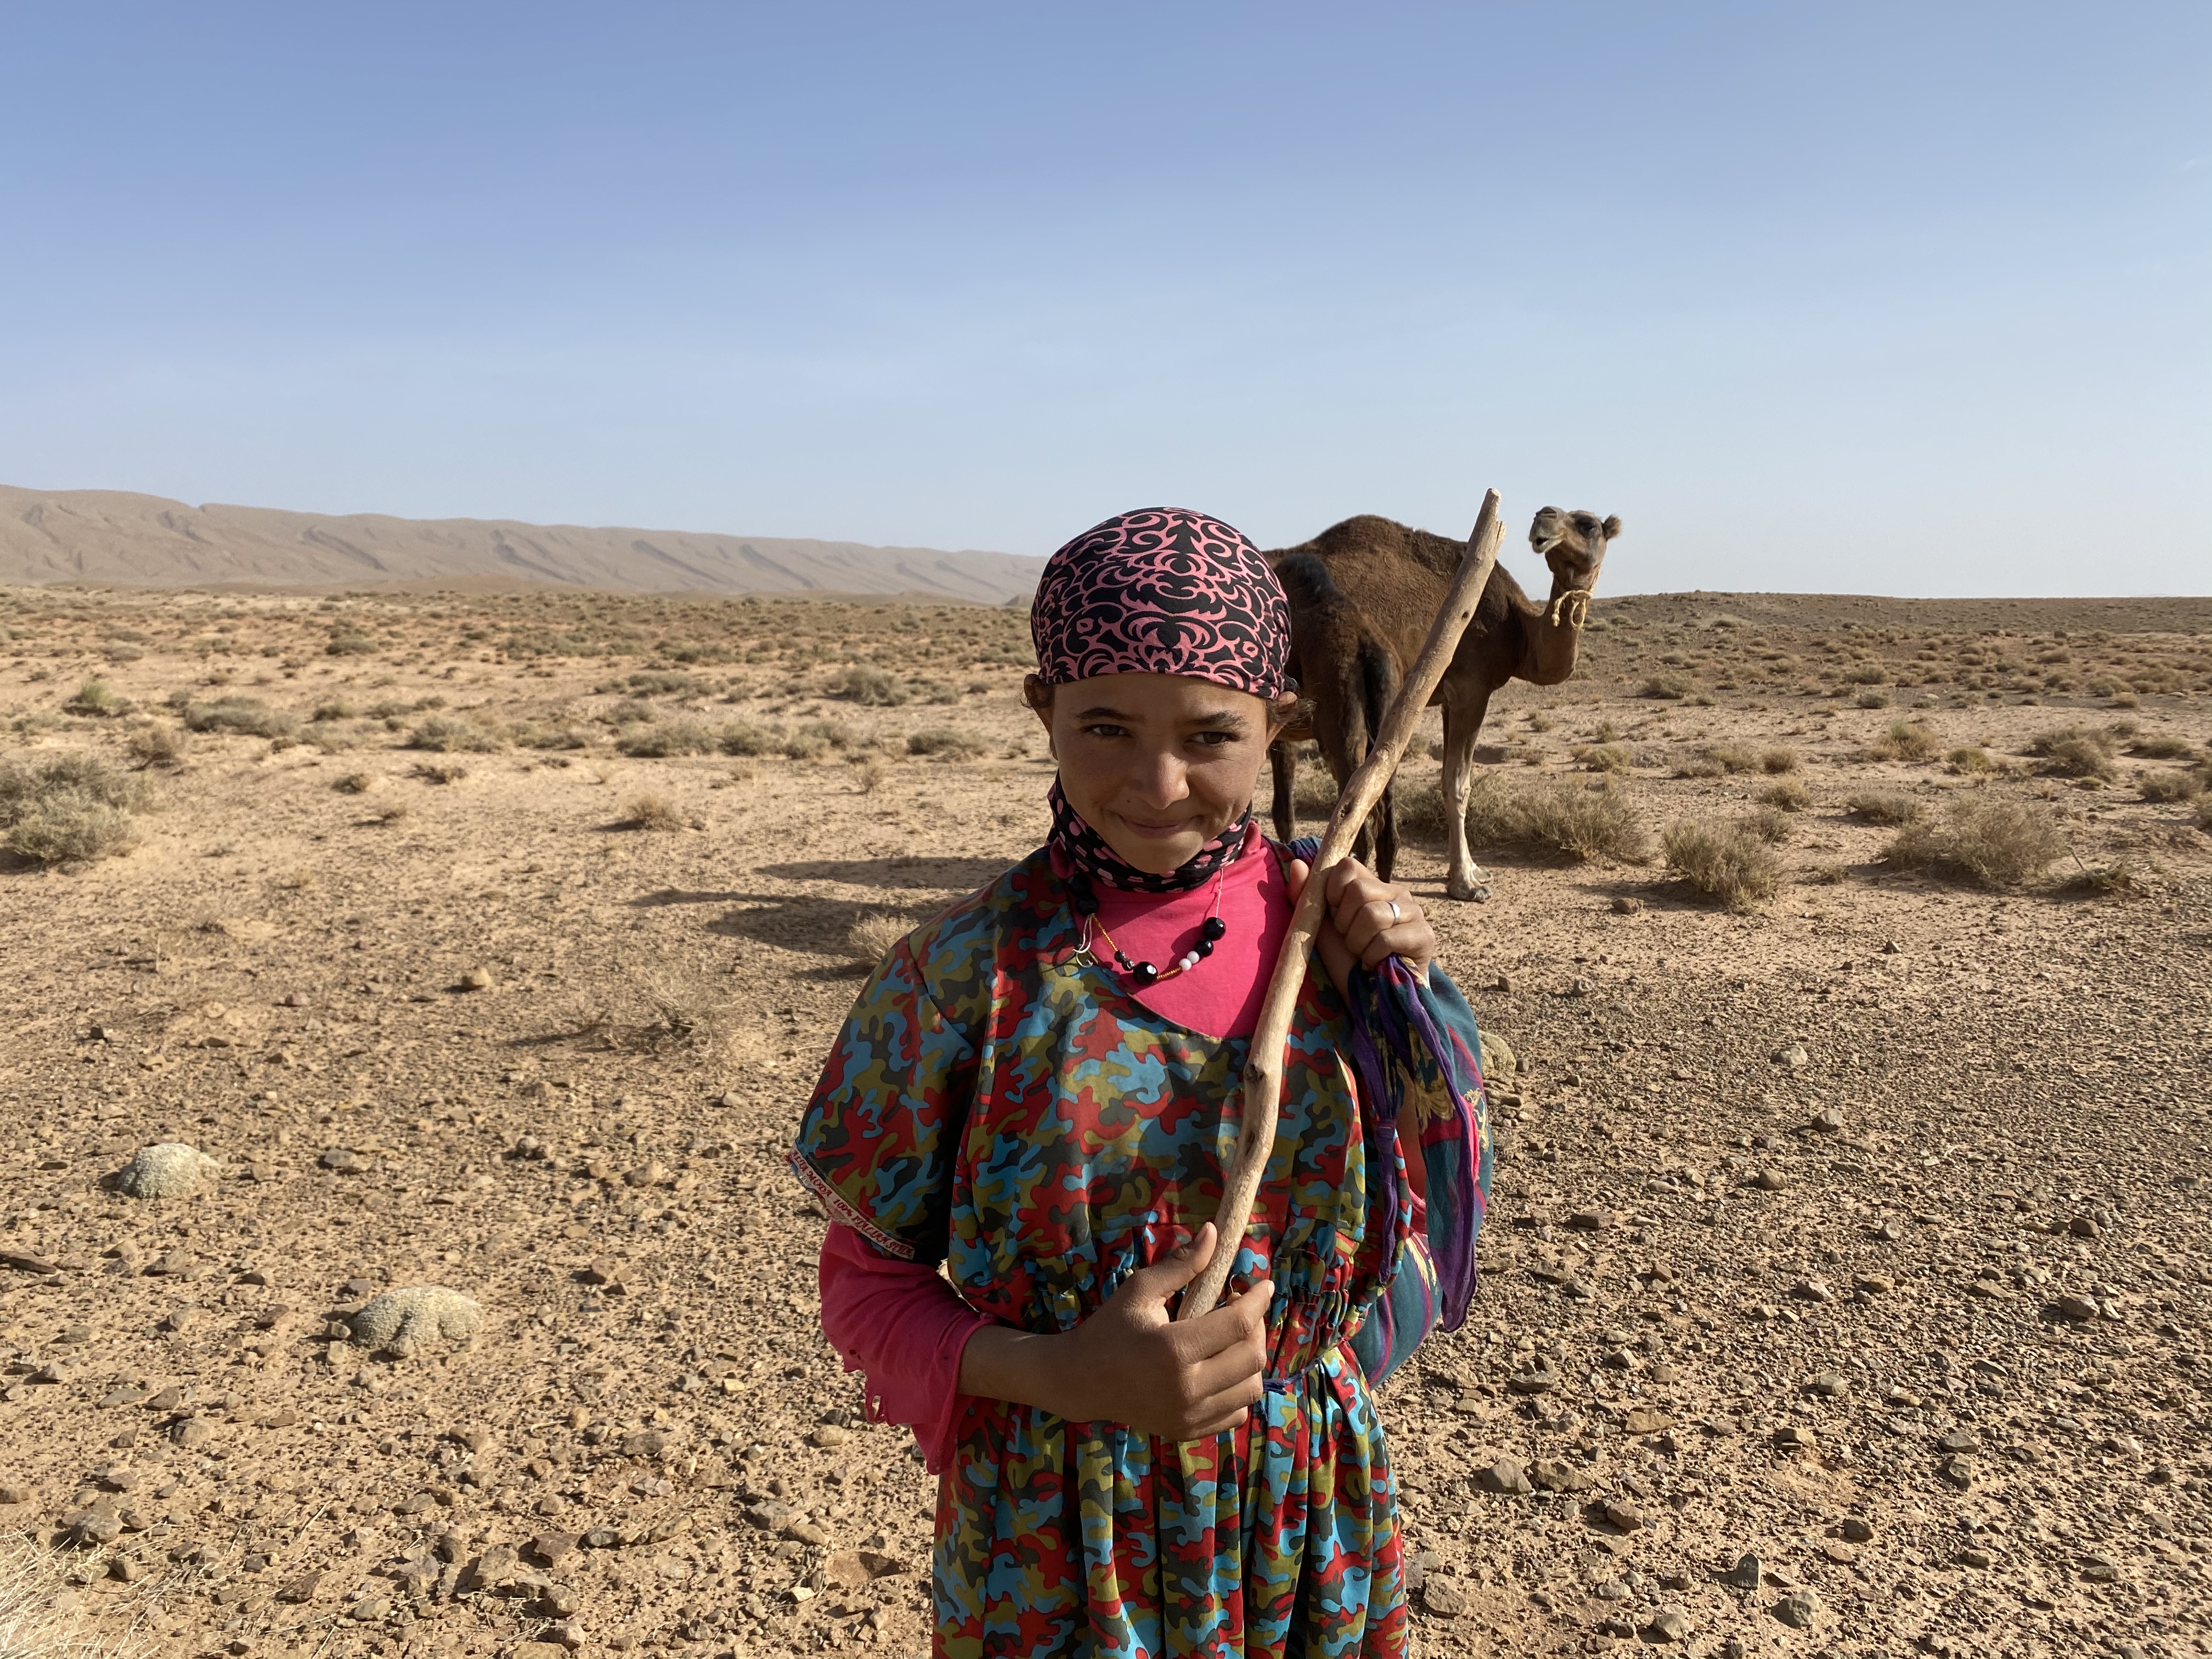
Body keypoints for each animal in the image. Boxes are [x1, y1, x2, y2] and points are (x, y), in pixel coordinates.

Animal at [1265, 506, 1628, 902]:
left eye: (1588, 525)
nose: (1543, 519)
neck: (1517, 626)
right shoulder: (1472, 686)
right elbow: (1458, 784)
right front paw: (1466, 883)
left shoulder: (1448, 698)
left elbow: (1447, 780)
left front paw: (1472, 871)